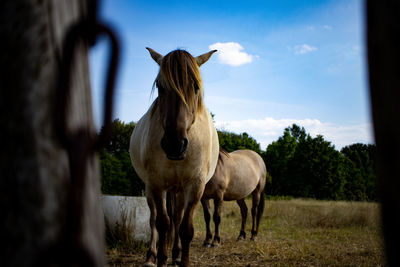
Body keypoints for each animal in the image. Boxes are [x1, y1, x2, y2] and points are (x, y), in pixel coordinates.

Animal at [130, 48, 219, 267]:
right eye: (160, 86)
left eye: (195, 87)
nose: (174, 144)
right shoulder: (156, 184)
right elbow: (162, 223)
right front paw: (161, 259)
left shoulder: (196, 185)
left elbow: (185, 228)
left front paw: (182, 259)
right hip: (154, 189)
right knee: (154, 219)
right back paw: (151, 256)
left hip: (179, 190)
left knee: (177, 218)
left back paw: (177, 254)